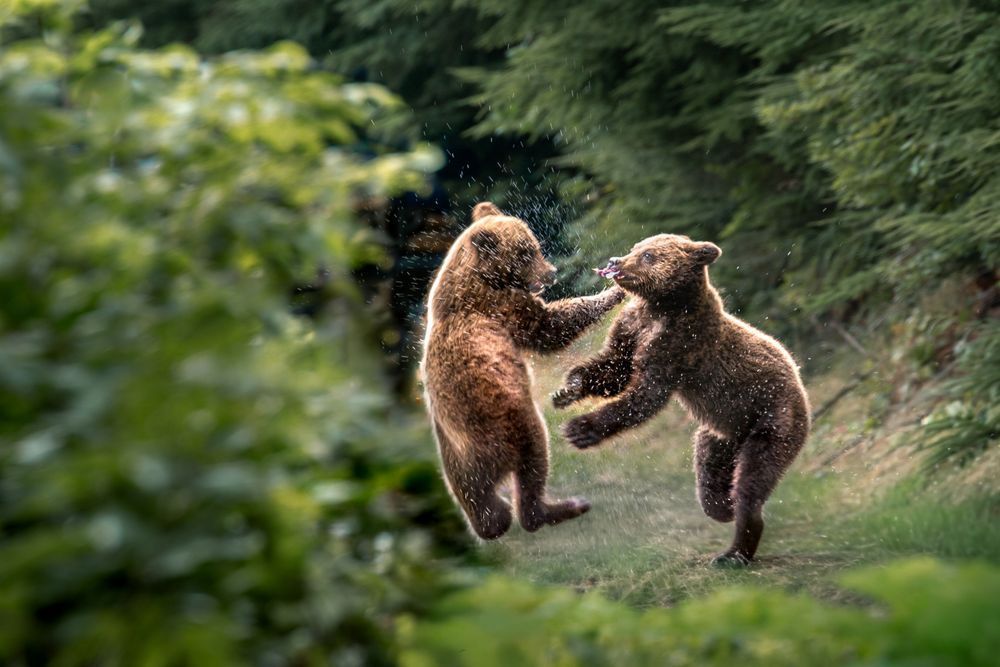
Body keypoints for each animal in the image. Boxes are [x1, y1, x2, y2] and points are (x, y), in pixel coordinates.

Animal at [421, 202, 625, 540]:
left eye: (535, 245)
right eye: (526, 252)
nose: (551, 272)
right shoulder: (503, 308)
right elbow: (551, 325)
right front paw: (613, 292)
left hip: (452, 454)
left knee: (474, 497)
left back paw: (494, 519)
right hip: (511, 420)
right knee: (534, 462)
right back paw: (563, 507)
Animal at [552, 233, 810, 566]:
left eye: (648, 255)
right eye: (636, 248)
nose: (615, 261)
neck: (663, 306)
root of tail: (801, 387)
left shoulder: (680, 345)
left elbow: (645, 396)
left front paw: (580, 429)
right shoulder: (633, 326)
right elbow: (614, 368)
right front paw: (568, 389)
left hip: (772, 420)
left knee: (752, 480)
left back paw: (734, 550)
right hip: (720, 436)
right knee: (708, 473)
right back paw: (722, 505)